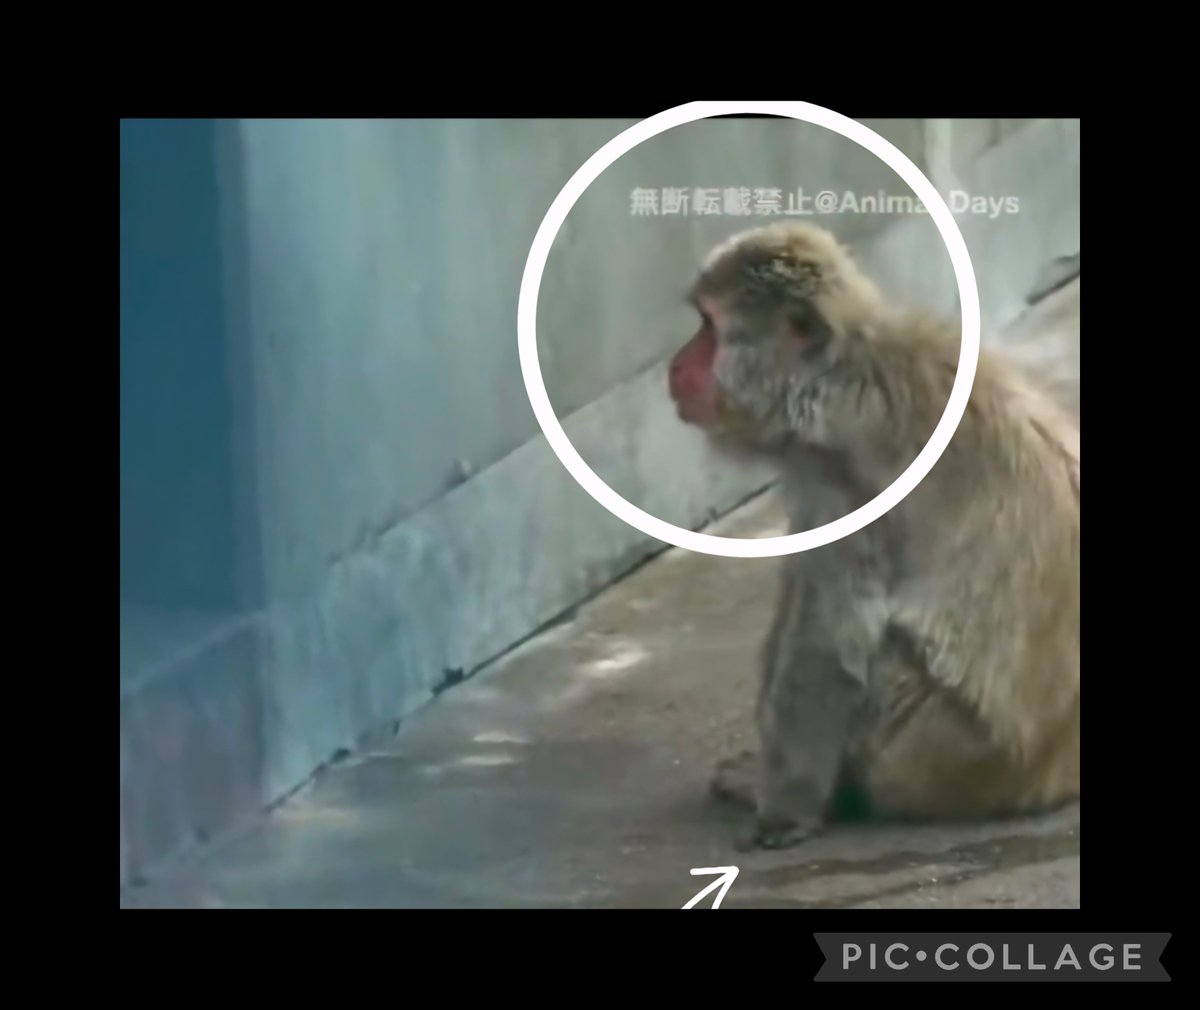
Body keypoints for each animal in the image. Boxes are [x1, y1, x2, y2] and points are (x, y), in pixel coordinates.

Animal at [667, 221, 1079, 851]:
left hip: (932, 756)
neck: (836, 377)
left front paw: (784, 809)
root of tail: (1054, 774)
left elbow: (831, 645)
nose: (676, 365)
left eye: (709, 329)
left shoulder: (845, 483)